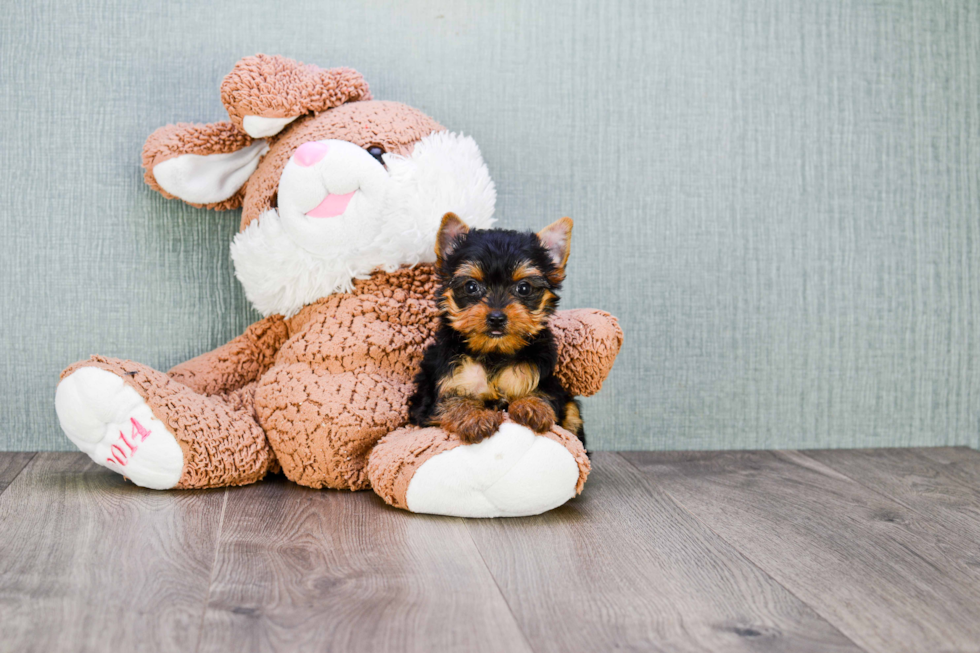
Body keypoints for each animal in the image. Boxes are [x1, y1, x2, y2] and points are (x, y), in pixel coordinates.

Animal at [406, 211, 580, 446]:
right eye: (471, 286)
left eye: (524, 288)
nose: (496, 318)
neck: (494, 351)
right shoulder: (430, 401)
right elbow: (451, 402)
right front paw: (475, 419)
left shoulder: (550, 384)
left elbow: (544, 394)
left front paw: (532, 406)